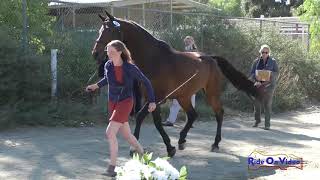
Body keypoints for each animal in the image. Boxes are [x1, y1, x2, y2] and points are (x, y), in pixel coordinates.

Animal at [90, 11, 260, 157]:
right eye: (100, 30)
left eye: (110, 30)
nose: (95, 53)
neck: (153, 59)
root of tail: (211, 58)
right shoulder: (152, 98)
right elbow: (157, 122)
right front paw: (169, 147)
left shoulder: (158, 98)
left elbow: (140, 117)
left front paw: (135, 147)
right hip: (183, 96)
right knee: (192, 115)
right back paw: (182, 140)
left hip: (210, 93)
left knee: (219, 113)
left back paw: (215, 143)